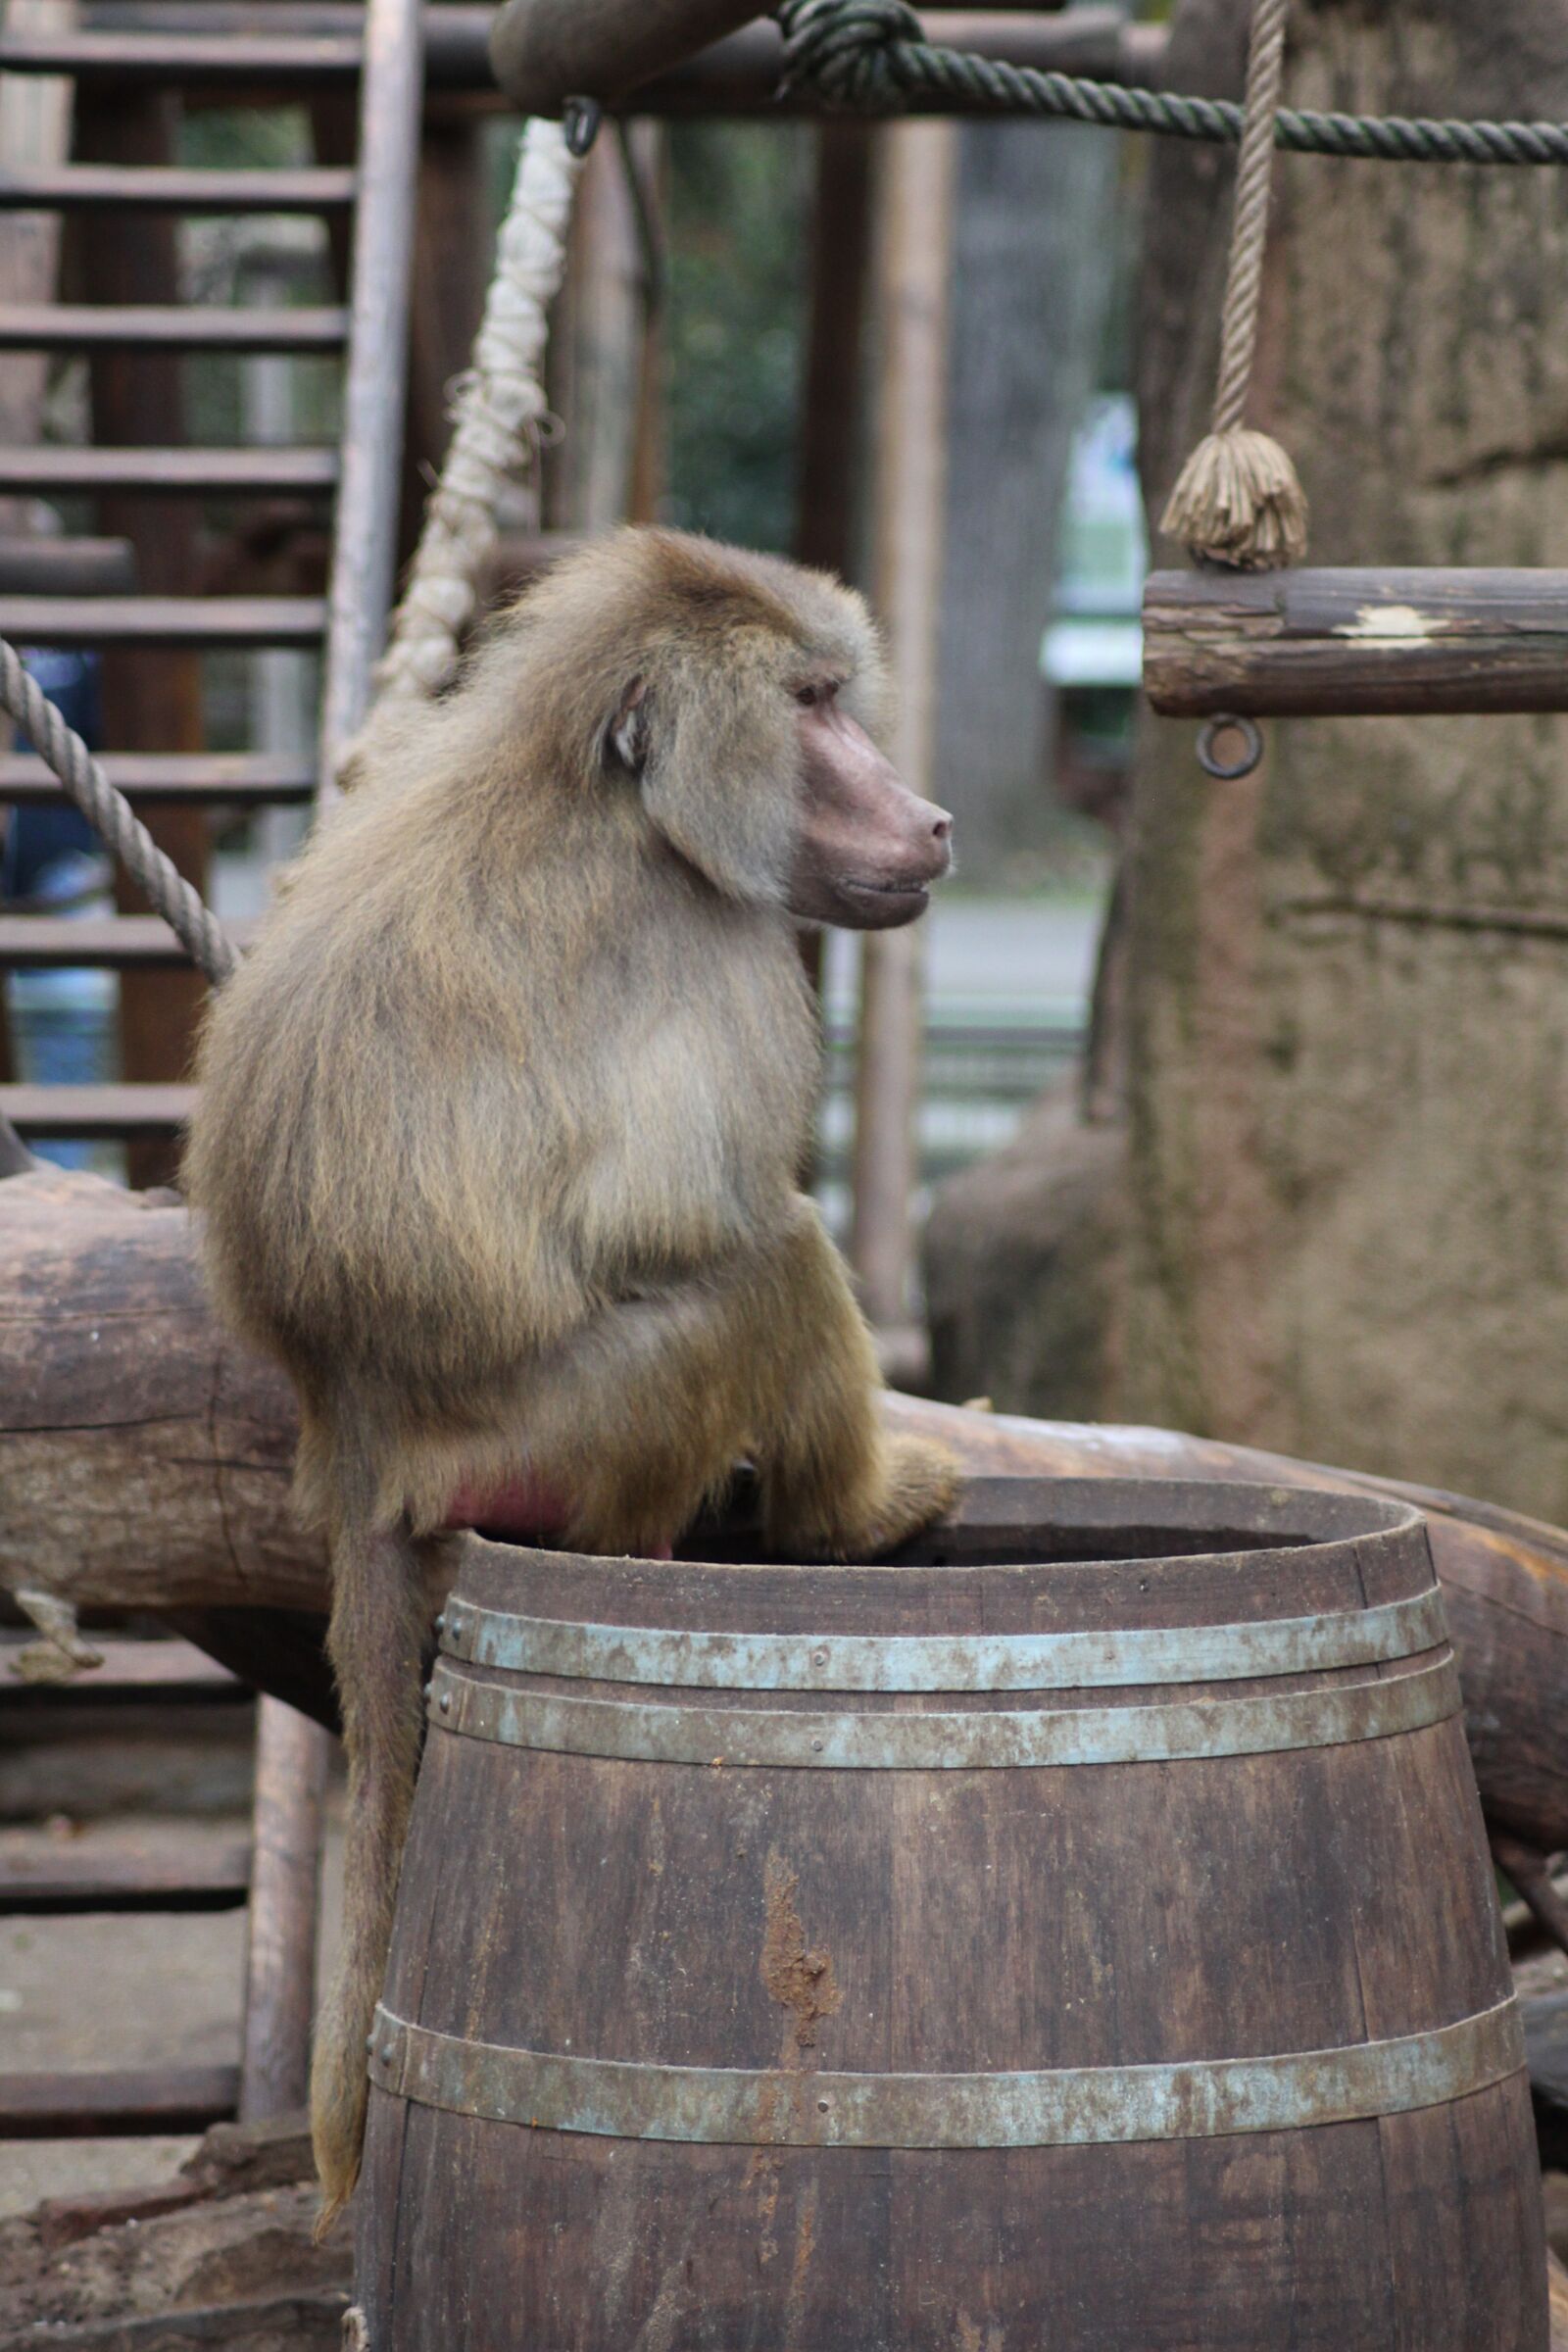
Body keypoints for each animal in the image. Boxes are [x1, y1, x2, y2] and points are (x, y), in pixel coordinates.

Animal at [182, 526, 961, 2227]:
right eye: (812, 706)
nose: (932, 818)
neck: (599, 799)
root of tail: (357, 1440)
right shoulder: (723, 951)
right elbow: (689, 1216)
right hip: (573, 1428)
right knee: (769, 1262)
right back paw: (853, 1519)